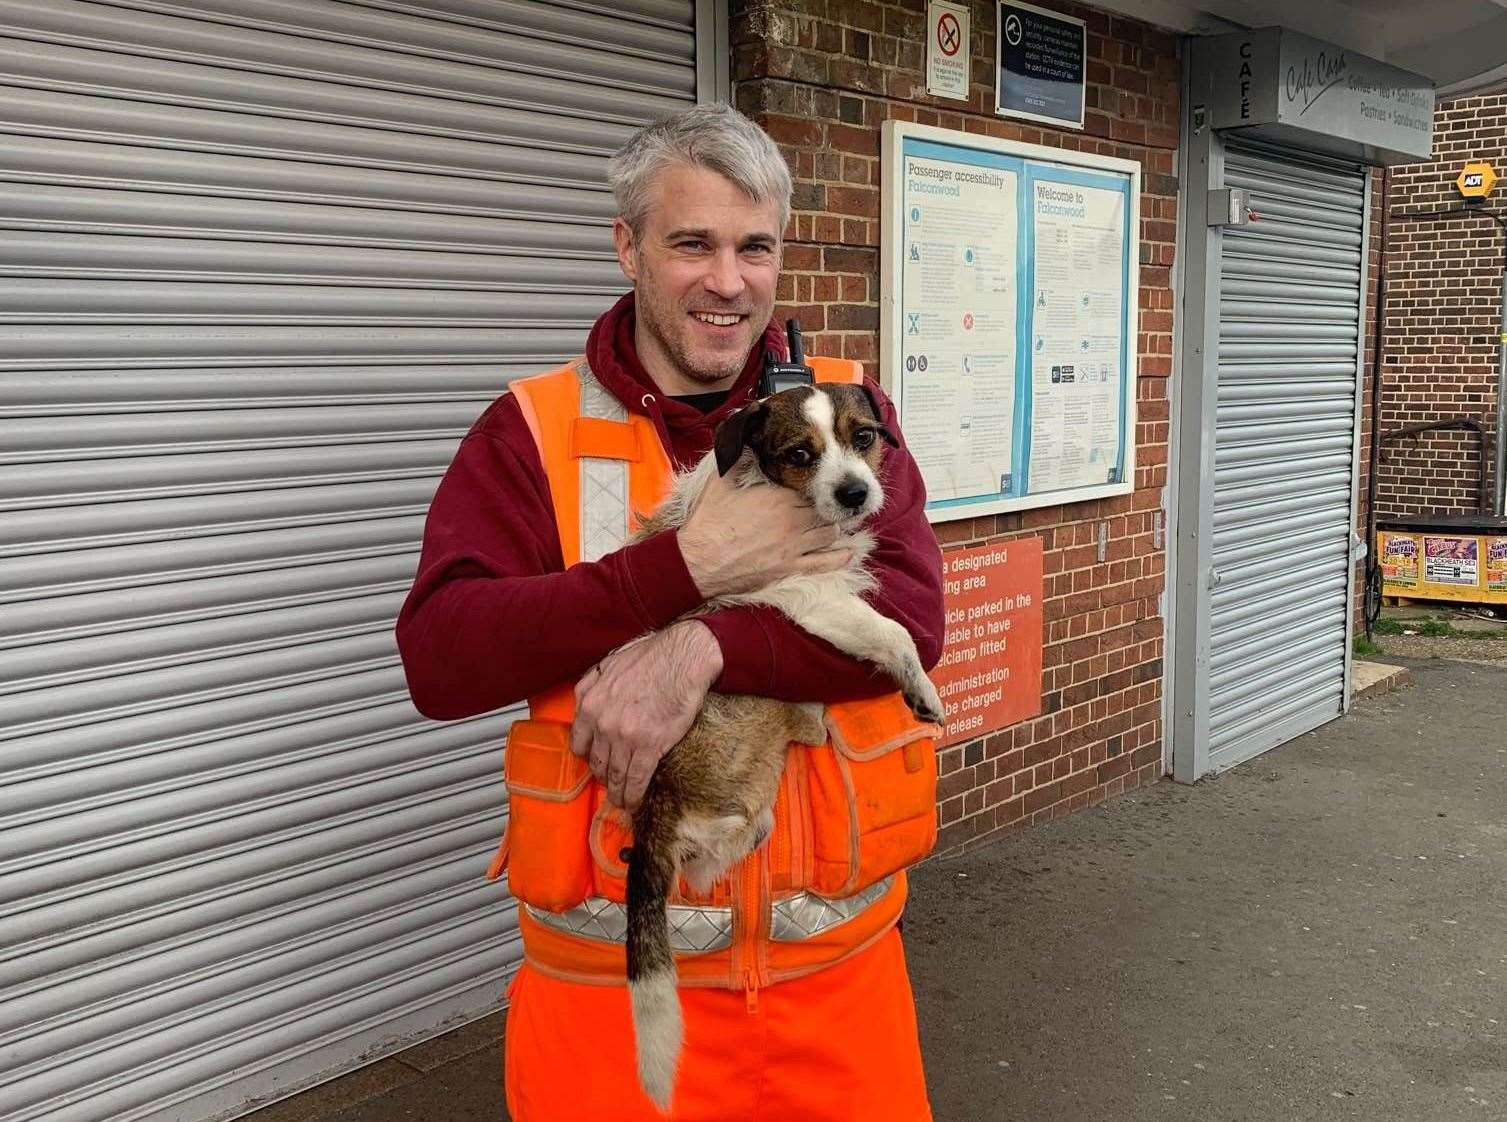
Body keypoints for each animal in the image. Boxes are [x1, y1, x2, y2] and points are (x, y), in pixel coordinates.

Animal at [623, 381, 940, 1108]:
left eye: (863, 436)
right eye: (800, 452)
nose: (855, 493)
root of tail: (654, 809)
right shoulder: (811, 597)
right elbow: (895, 635)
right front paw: (920, 689)